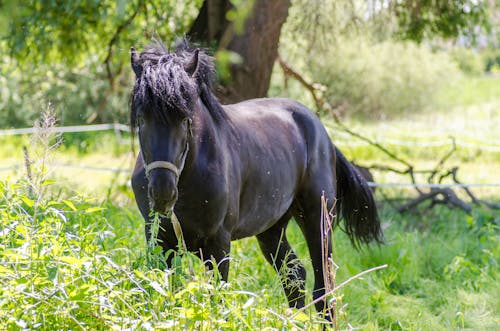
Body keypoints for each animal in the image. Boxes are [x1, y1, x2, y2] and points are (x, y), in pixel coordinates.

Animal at [130, 41, 382, 320]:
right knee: (294, 274)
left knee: (323, 288)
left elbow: (217, 297)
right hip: (272, 229)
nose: (162, 193)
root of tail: (322, 134)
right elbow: (165, 293)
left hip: (318, 219)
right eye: (141, 119)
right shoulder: (160, 239)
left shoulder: (218, 243)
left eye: (185, 119)